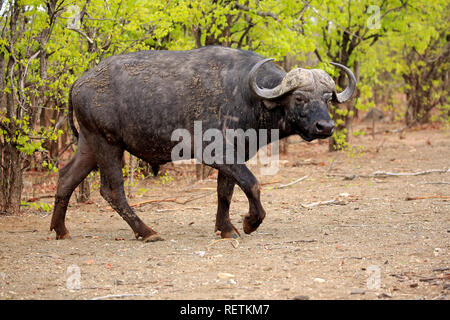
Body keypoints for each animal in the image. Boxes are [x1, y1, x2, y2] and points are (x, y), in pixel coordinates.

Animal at [51, 45, 356, 240]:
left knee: (66, 177)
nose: (325, 127)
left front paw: (226, 228)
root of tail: (81, 81)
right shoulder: (214, 152)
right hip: (108, 144)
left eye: (327, 98)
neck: (246, 94)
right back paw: (146, 232)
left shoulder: (235, 153)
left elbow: (226, 192)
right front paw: (250, 223)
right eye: (300, 98)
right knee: (112, 191)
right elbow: (252, 183)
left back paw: (60, 230)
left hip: (89, 144)